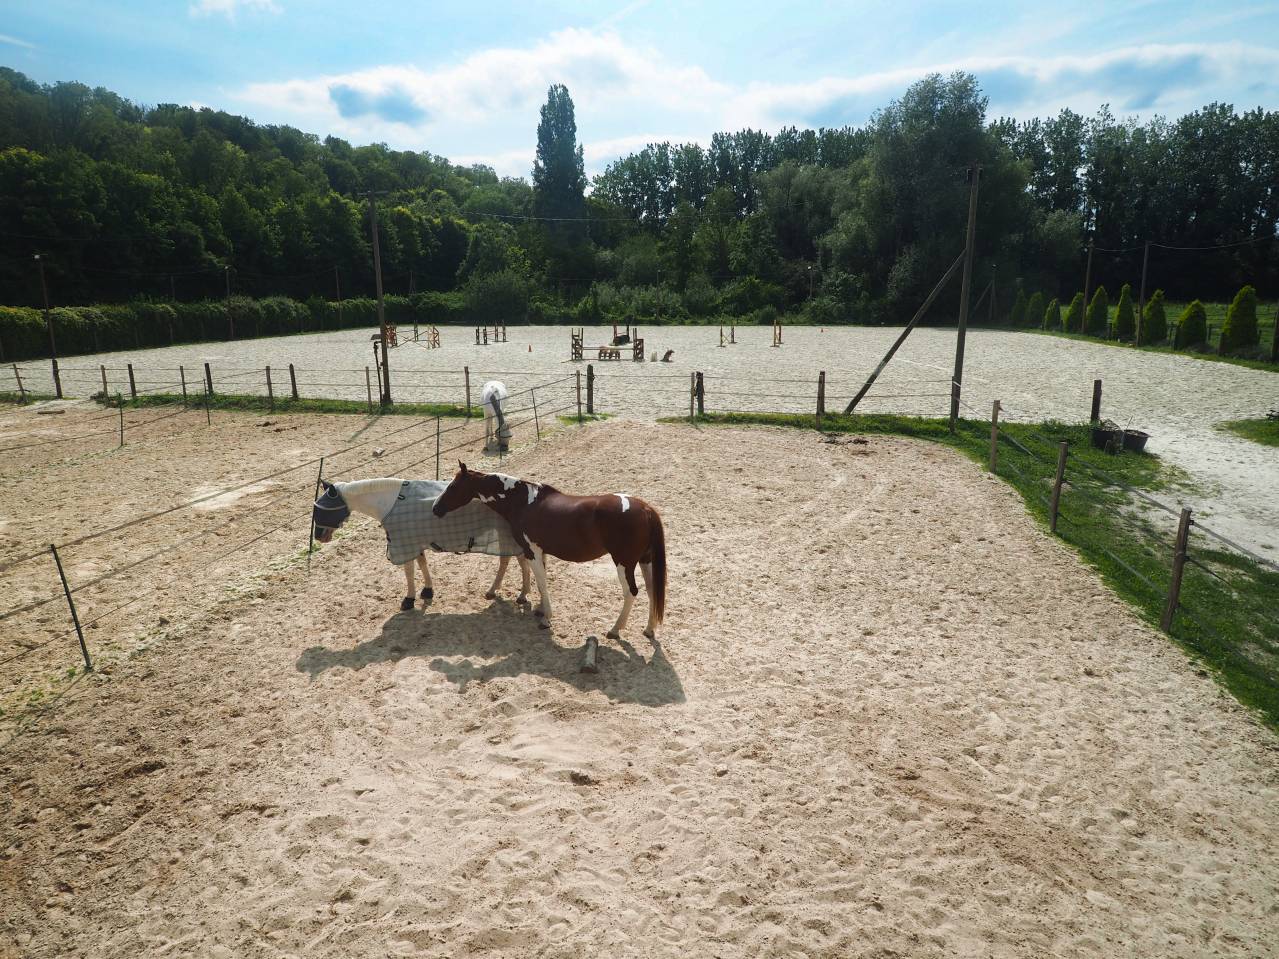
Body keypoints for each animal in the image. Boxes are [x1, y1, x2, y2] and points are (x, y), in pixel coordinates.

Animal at [312, 478, 531, 611]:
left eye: (323, 508)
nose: (319, 536)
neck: (390, 503)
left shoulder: (404, 543)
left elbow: (409, 571)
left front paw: (409, 599)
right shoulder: (414, 541)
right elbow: (422, 563)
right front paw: (427, 590)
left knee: (522, 563)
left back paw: (522, 594)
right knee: (506, 561)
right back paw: (494, 591)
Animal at [432, 463, 666, 640]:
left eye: (453, 487)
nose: (435, 508)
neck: (523, 502)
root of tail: (646, 509)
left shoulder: (532, 551)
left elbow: (542, 582)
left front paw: (546, 618)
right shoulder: (539, 551)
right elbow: (540, 580)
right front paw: (540, 609)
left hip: (624, 563)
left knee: (631, 592)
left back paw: (615, 630)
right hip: (645, 561)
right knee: (651, 590)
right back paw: (649, 629)